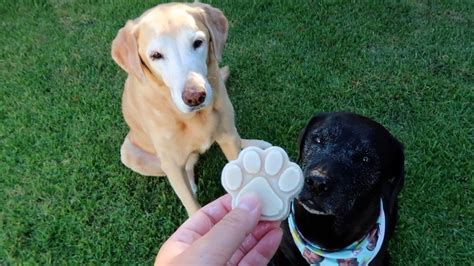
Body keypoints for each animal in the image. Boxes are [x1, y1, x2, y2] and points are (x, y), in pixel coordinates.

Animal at [109, 2, 268, 216]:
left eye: (198, 42)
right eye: (156, 55)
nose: (195, 97)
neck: (193, 117)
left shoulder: (227, 135)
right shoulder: (172, 164)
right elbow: (192, 205)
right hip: (129, 153)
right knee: (189, 165)